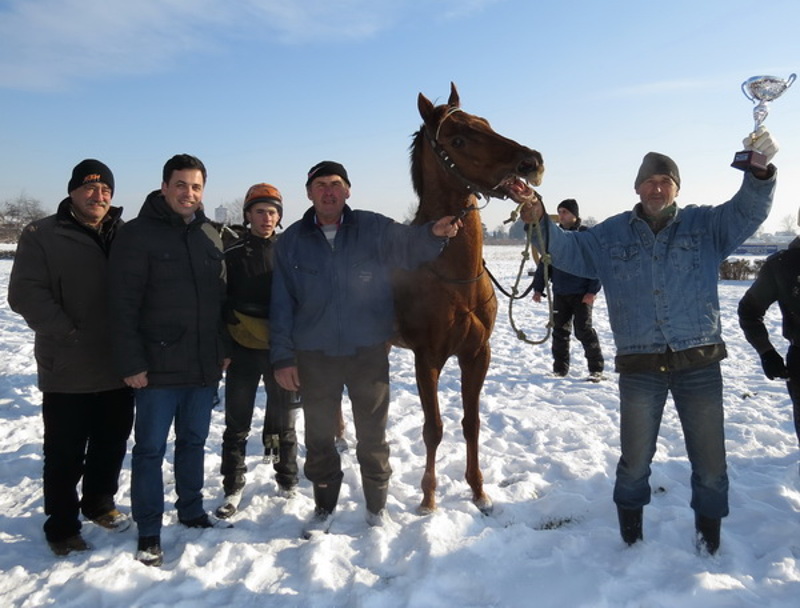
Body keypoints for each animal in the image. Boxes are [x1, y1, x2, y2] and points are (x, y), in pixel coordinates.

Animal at [394, 83, 544, 516]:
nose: (531, 161)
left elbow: (470, 423)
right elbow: (433, 428)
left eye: (486, 123)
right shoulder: (426, 358)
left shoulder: (476, 354)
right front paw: (428, 498)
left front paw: (479, 491)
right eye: (457, 140)